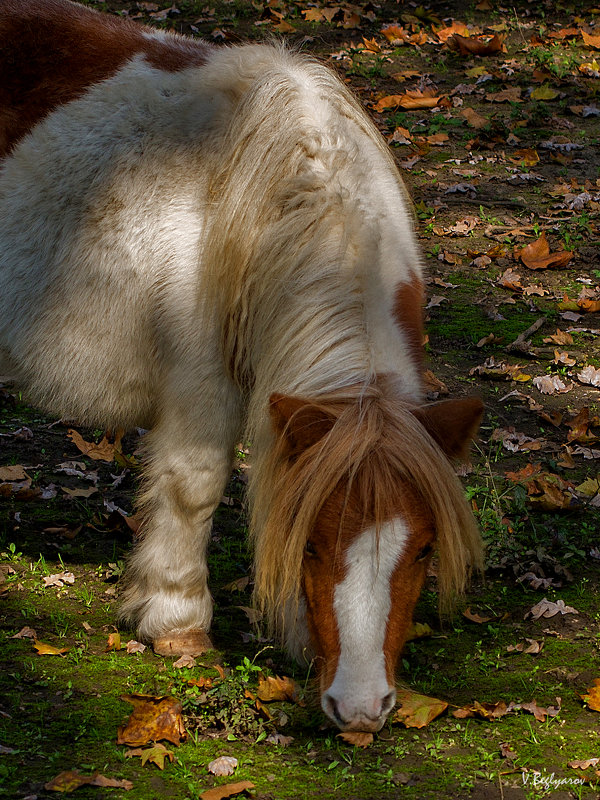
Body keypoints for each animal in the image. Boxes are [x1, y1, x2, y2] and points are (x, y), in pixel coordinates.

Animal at [0, 0, 480, 736]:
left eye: (424, 550)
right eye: (311, 546)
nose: (362, 709)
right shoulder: (202, 393)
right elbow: (194, 490)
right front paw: (178, 625)